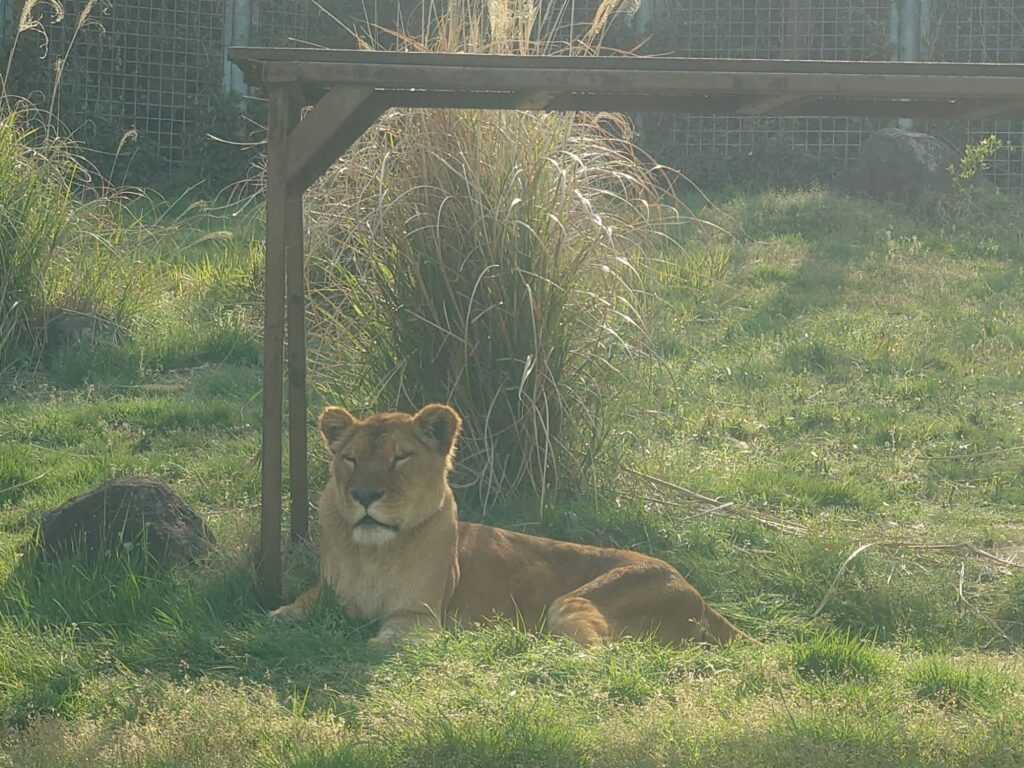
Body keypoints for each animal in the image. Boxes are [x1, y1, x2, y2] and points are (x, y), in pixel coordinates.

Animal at [269, 404, 742, 647]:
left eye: (400, 457)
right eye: (350, 459)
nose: (365, 495)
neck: (373, 552)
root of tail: (695, 592)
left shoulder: (420, 617)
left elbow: (386, 638)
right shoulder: (331, 592)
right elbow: (301, 603)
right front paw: (281, 616)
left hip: (574, 603)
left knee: (606, 653)